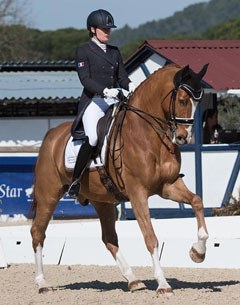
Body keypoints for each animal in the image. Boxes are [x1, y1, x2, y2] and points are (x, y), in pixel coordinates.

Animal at [30, 63, 208, 294]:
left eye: (199, 102)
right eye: (183, 100)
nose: (183, 137)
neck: (148, 134)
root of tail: (51, 135)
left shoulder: (168, 186)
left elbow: (196, 201)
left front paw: (198, 252)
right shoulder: (137, 193)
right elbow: (150, 238)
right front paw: (162, 284)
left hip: (102, 200)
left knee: (109, 238)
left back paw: (133, 280)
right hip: (48, 195)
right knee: (38, 232)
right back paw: (42, 283)